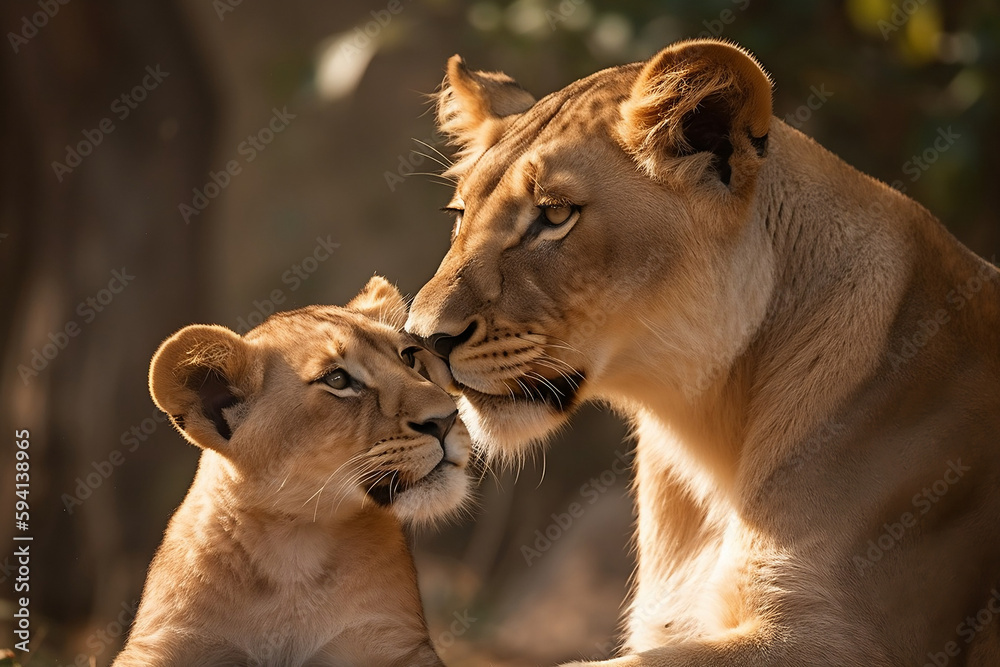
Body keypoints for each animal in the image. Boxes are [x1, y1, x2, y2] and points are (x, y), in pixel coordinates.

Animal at [112, 276, 470, 667]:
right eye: (338, 379)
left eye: (408, 357)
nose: (447, 418)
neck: (294, 544)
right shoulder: (164, 641)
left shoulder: (394, 640)